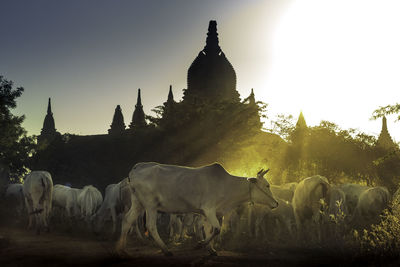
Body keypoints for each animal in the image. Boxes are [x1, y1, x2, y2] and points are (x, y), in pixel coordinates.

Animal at [116, 163, 278, 258]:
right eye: (267, 185)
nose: (276, 203)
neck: (227, 185)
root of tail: (136, 168)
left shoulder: (209, 213)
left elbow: (209, 229)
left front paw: (211, 250)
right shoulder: (209, 209)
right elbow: (216, 229)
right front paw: (199, 244)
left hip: (138, 204)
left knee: (127, 220)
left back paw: (122, 249)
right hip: (150, 205)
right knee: (150, 226)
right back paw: (165, 249)